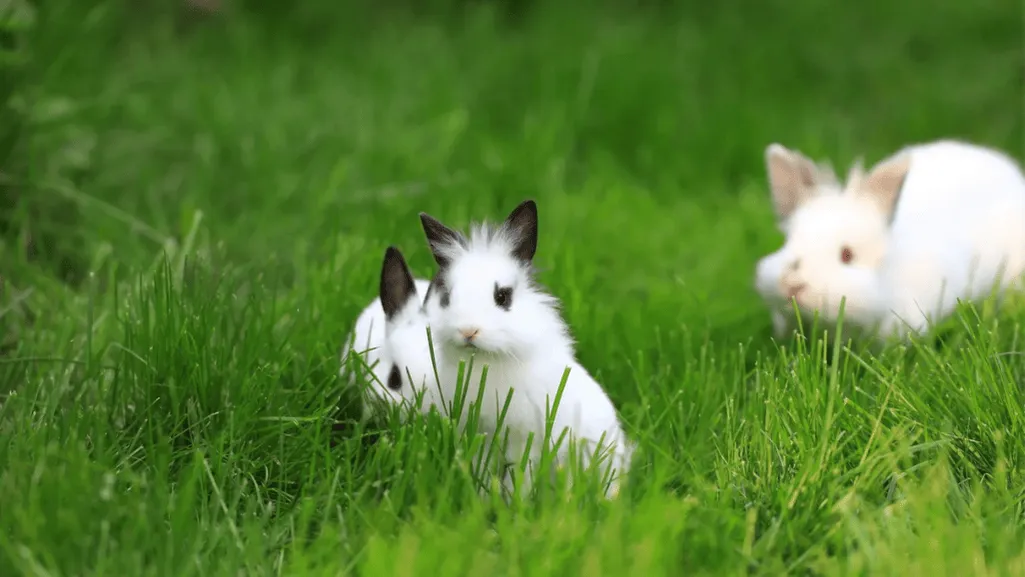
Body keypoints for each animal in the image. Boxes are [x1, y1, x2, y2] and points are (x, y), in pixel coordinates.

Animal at [417, 199, 635, 499]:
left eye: (502, 296)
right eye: (447, 297)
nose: (468, 331)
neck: (488, 360)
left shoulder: (525, 440)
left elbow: (520, 476)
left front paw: (512, 502)